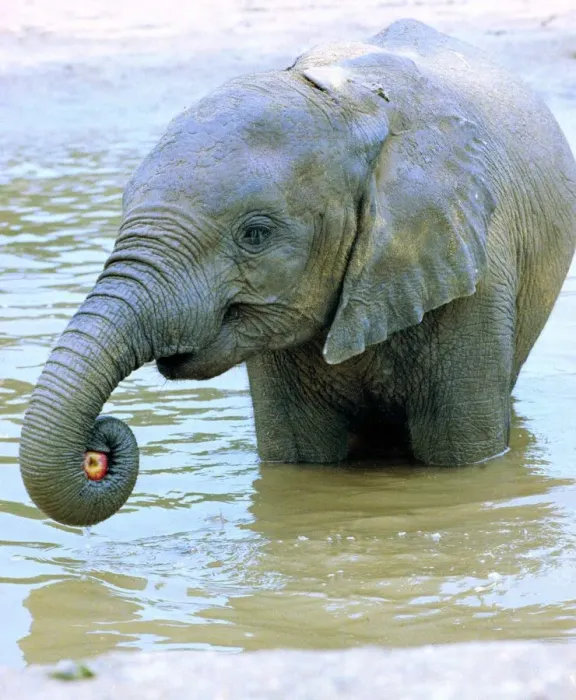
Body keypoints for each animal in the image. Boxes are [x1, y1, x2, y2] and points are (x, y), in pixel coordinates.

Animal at [19, 19, 576, 527]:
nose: (98, 449)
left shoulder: (475, 274)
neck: (352, 103)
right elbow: (299, 459)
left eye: (255, 234)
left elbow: (461, 454)